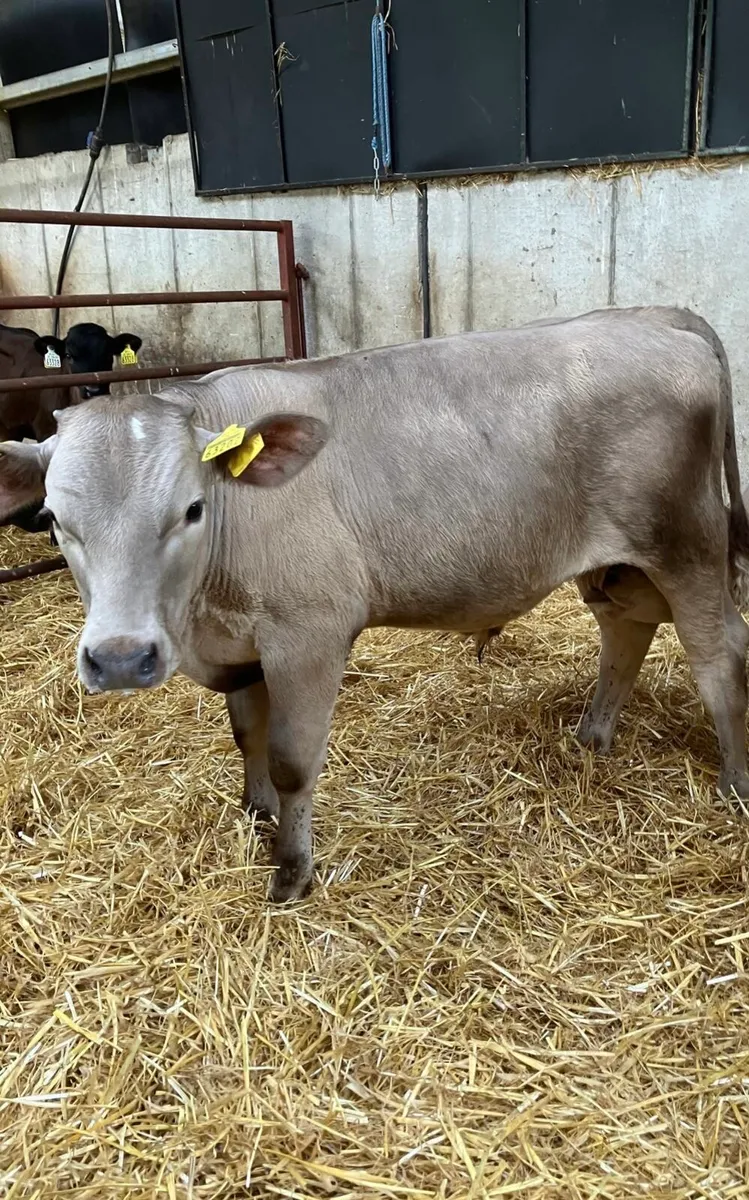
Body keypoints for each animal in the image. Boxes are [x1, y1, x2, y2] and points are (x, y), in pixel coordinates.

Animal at [0, 305, 747, 904]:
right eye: (56, 520)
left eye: (191, 509)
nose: (122, 659)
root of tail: (656, 318)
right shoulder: (242, 644)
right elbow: (246, 734)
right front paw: (256, 813)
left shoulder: (308, 634)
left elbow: (291, 757)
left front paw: (291, 873)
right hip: (616, 564)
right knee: (626, 632)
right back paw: (592, 738)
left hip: (688, 544)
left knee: (719, 656)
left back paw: (734, 784)